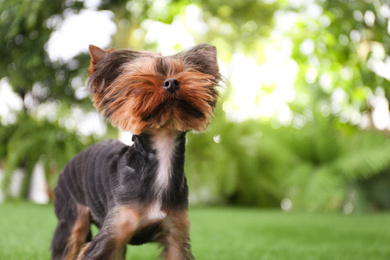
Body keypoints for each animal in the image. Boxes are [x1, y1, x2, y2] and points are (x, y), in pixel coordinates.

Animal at [51, 43, 221, 260]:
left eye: (182, 73)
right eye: (142, 79)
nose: (172, 82)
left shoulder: (176, 234)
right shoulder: (111, 236)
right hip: (72, 216)